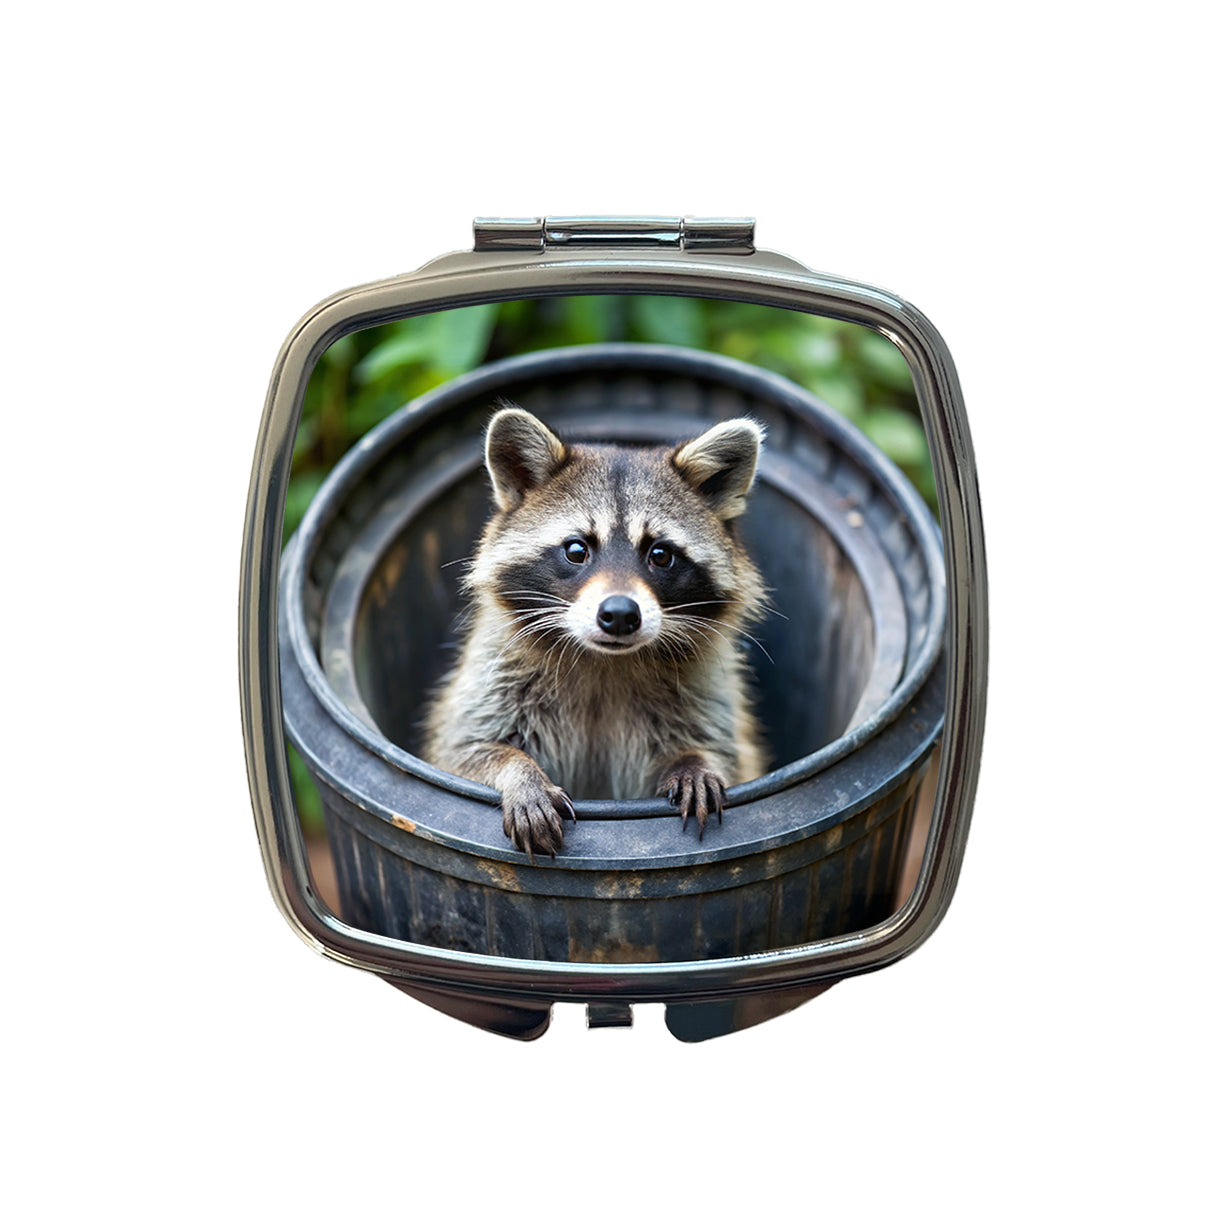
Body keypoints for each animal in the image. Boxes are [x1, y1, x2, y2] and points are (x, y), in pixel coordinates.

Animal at [422, 404, 769, 859]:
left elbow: (723, 751)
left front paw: (695, 761)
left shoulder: (704, 693)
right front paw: (519, 772)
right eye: (576, 549)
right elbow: (464, 752)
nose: (619, 614)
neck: (606, 661)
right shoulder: (493, 678)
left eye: (661, 554)